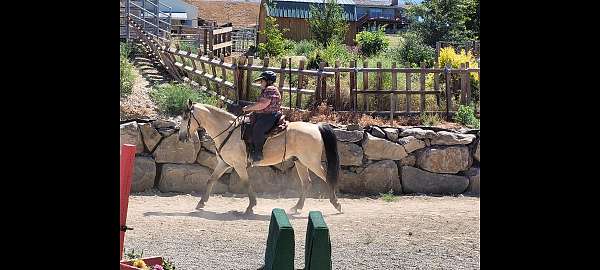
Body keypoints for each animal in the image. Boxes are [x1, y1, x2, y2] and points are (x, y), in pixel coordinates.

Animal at [177, 99, 342, 215]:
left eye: (185, 117)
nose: (181, 137)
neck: (228, 131)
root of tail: (316, 126)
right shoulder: (224, 163)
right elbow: (211, 180)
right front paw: (201, 203)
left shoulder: (238, 165)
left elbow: (246, 183)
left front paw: (251, 206)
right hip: (300, 162)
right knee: (306, 183)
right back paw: (296, 207)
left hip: (311, 161)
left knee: (327, 177)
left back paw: (336, 204)